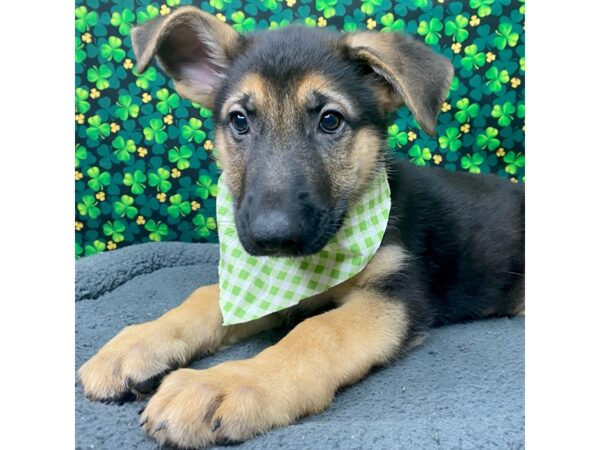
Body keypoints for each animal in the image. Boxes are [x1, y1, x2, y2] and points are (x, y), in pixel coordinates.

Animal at [79, 5, 524, 448]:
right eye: (239, 120)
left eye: (330, 121)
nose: (272, 236)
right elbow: (207, 298)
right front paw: (137, 343)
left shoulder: (395, 294)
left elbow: (318, 332)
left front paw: (225, 384)